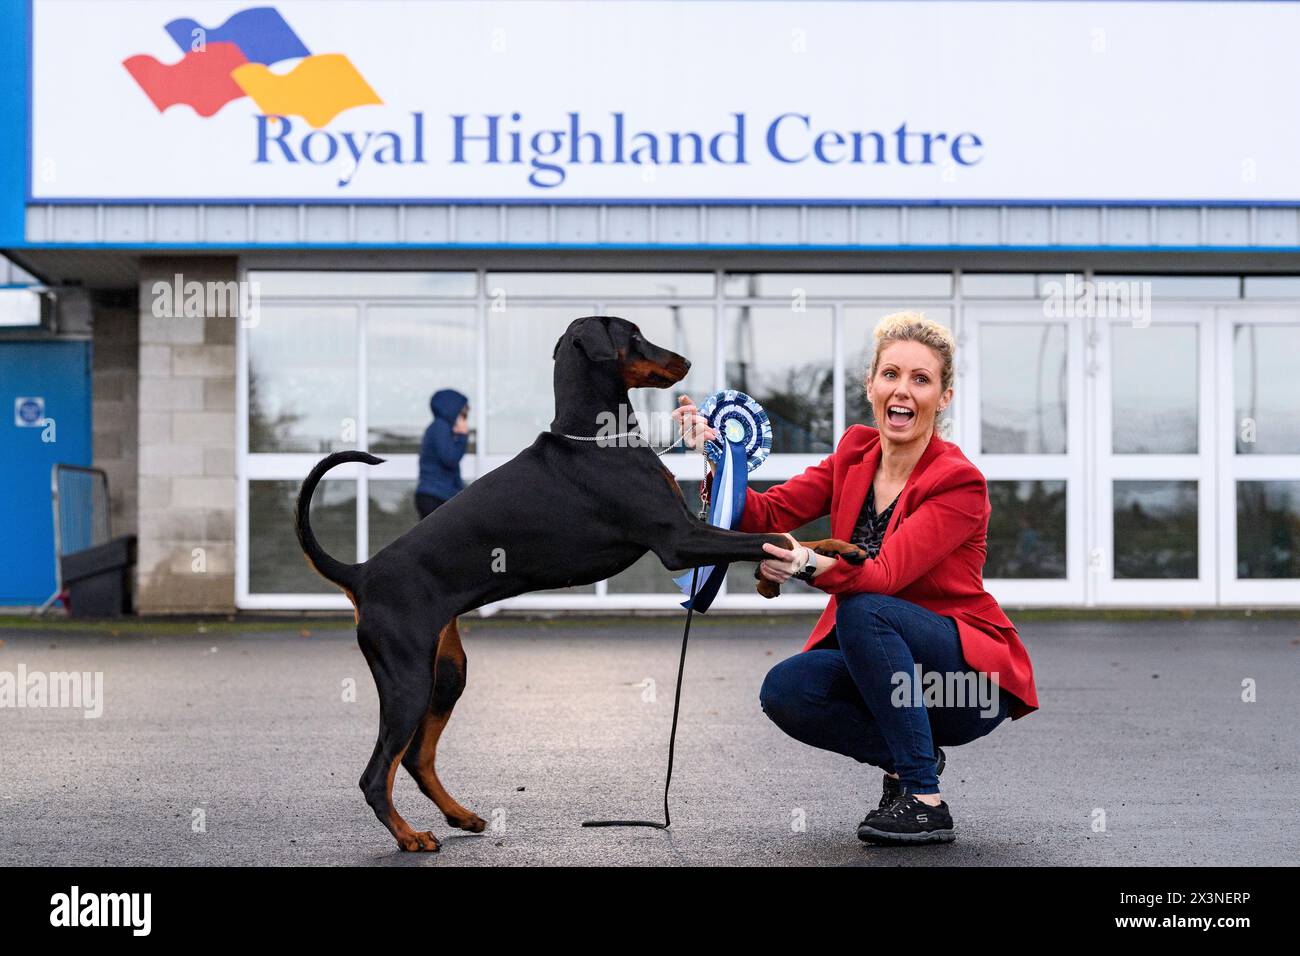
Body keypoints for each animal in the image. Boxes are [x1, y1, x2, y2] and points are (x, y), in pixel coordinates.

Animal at [297, 316, 863, 853]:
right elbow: (768, 536)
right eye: (634, 334)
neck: (599, 436)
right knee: (376, 774)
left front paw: (836, 551)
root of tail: (361, 573)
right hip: (407, 677)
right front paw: (789, 566)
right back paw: (409, 836)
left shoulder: (689, 530)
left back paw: (461, 816)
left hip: (447, 671)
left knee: (417, 757)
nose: (685, 359)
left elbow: (781, 534)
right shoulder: (678, 539)